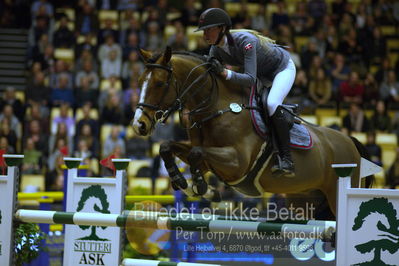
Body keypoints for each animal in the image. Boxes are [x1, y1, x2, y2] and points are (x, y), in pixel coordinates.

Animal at [134, 47, 368, 216]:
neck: (217, 106)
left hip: (336, 195)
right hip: (303, 199)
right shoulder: (207, 159)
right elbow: (167, 147)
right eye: (139, 81)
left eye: (159, 83)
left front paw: (202, 188)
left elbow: (195, 153)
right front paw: (183, 182)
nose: (139, 124)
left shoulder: (237, 162)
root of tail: (350, 142)